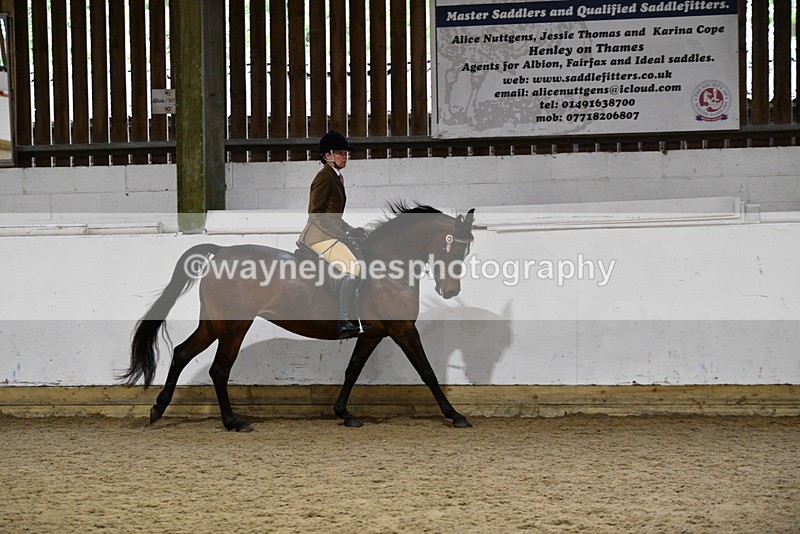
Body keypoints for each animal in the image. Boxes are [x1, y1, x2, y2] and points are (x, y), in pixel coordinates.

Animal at [120, 203, 476, 432]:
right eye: (456, 251)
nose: (451, 292)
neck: (389, 264)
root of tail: (220, 251)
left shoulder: (373, 333)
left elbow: (352, 370)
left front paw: (344, 414)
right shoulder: (403, 330)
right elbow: (428, 372)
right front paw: (455, 415)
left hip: (213, 324)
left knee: (182, 353)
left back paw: (158, 409)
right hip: (234, 327)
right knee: (219, 369)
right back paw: (232, 423)